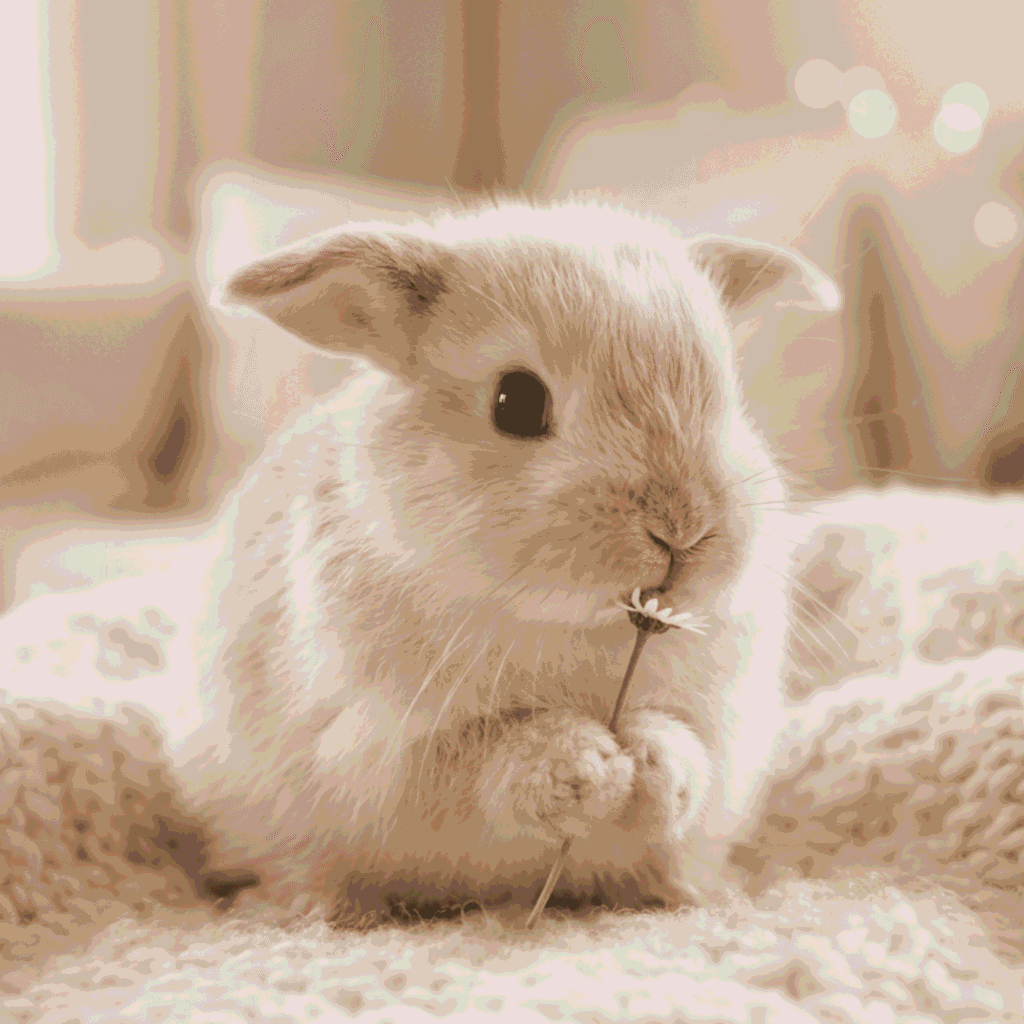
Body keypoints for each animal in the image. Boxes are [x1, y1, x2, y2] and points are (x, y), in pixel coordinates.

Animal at [181, 199, 839, 925]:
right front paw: (586, 765)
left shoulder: (725, 728)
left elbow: (687, 746)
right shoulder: (383, 753)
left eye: (730, 397)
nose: (684, 530)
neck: (582, 626)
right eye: (516, 402)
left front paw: (649, 763)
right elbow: (482, 761)